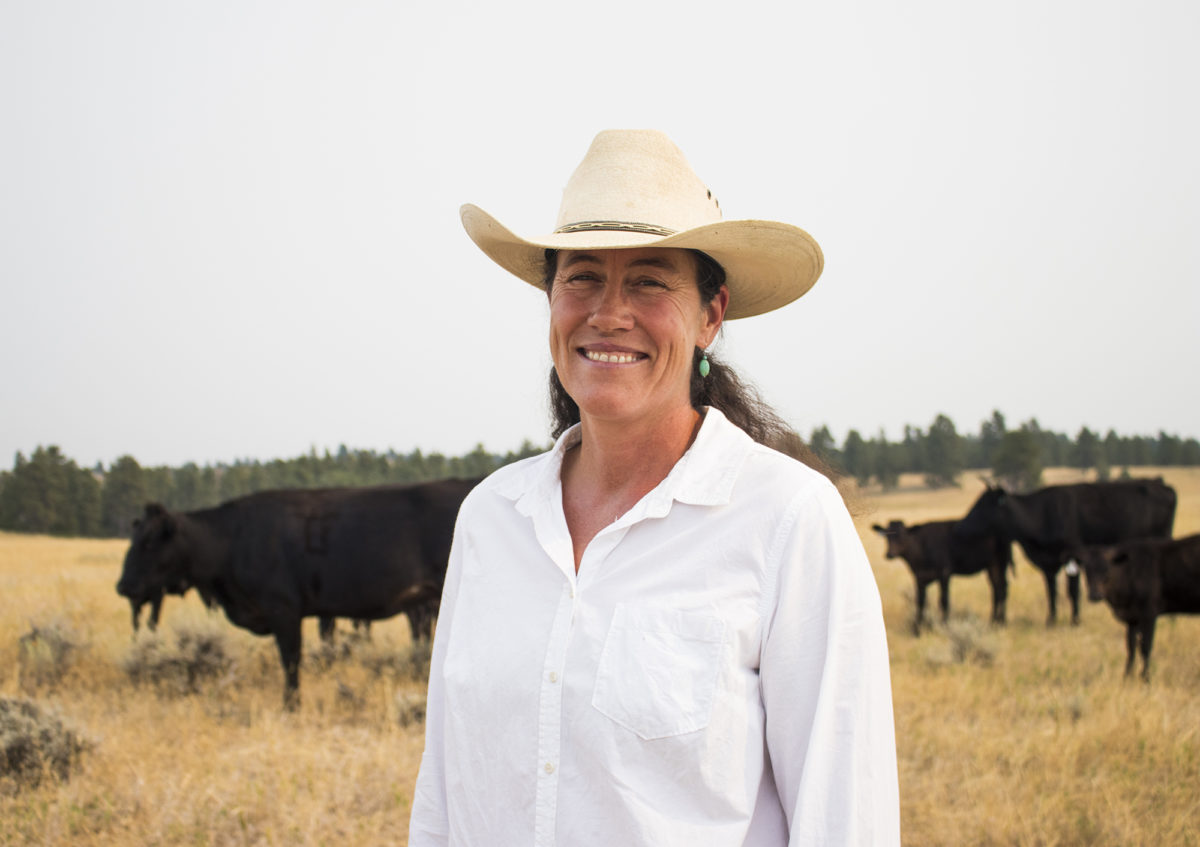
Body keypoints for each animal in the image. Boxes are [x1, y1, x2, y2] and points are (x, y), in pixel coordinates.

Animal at [113, 475, 477, 705]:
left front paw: (291, 705)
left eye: (149, 542)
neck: (232, 539)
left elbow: (290, 661)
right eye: (133, 538)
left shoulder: (284, 611)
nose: (123, 585)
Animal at [873, 513, 1012, 633]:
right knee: (997, 590)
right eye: (886, 536)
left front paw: (945, 626)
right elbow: (920, 602)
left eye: (902, 535)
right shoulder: (919, 578)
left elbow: (944, 601)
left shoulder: (944, 573)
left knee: (1002, 589)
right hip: (992, 565)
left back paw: (1001, 623)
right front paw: (916, 630)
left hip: (1001, 562)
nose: (889, 554)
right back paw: (994, 622)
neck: (921, 549)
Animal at [950, 477, 1176, 623]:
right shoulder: (1049, 563)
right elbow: (1052, 591)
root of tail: (1164, 486)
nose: (960, 526)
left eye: (982, 505)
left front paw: (1075, 620)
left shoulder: (1073, 555)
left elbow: (1072, 591)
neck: (1041, 514)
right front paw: (1051, 619)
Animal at [1080, 535, 1200, 681]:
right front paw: (1127, 676)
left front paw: (1145, 678)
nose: (1095, 595)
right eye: (1086, 570)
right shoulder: (1132, 619)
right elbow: (1131, 648)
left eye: (1107, 569)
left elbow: (1145, 647)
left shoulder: (1149, 614)